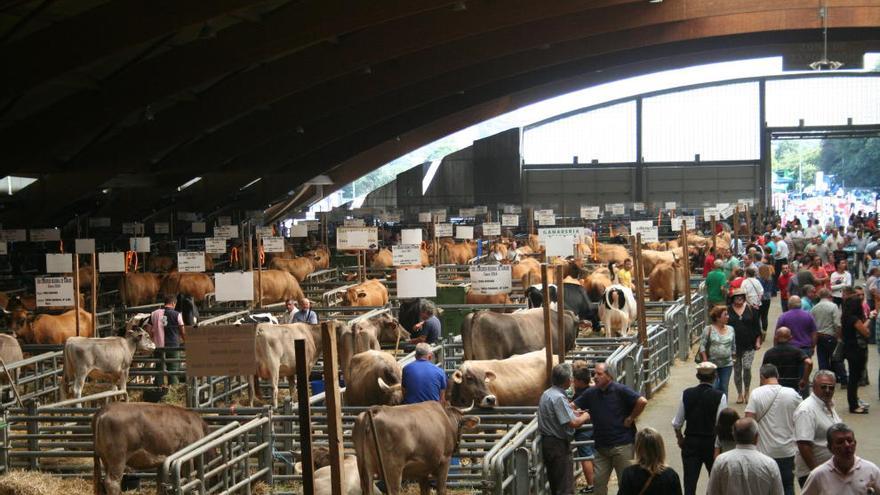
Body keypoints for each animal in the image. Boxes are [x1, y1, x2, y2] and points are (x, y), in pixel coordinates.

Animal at [350, 404, 478, 495]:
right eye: (461, 427)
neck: (446, 420)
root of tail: (376, 410)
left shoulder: (423, 470)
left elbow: (425, 491)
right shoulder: (444, 461)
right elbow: (441, 490)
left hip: (364, 469)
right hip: (393, 469)